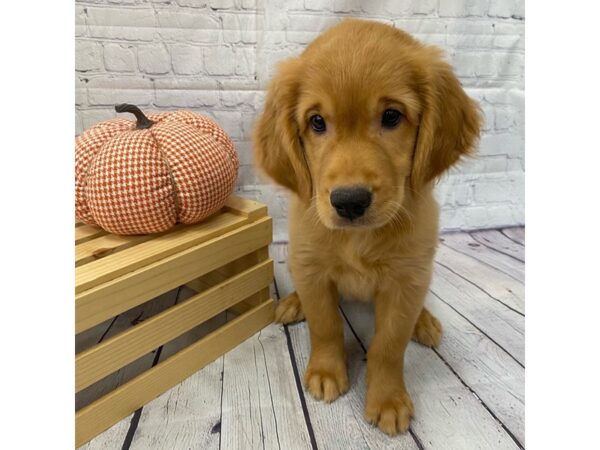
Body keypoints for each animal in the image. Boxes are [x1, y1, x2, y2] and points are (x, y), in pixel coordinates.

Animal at [251, 18, 480, 436]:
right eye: (317, 122)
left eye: (391, 117)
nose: (349, 201)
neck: (358, 239)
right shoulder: (312, 267)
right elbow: (325, 325)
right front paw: (327, 372)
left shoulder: (405, 280)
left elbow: (389, 345)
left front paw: (387, 399)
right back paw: (293, 303)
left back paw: (425, 322)